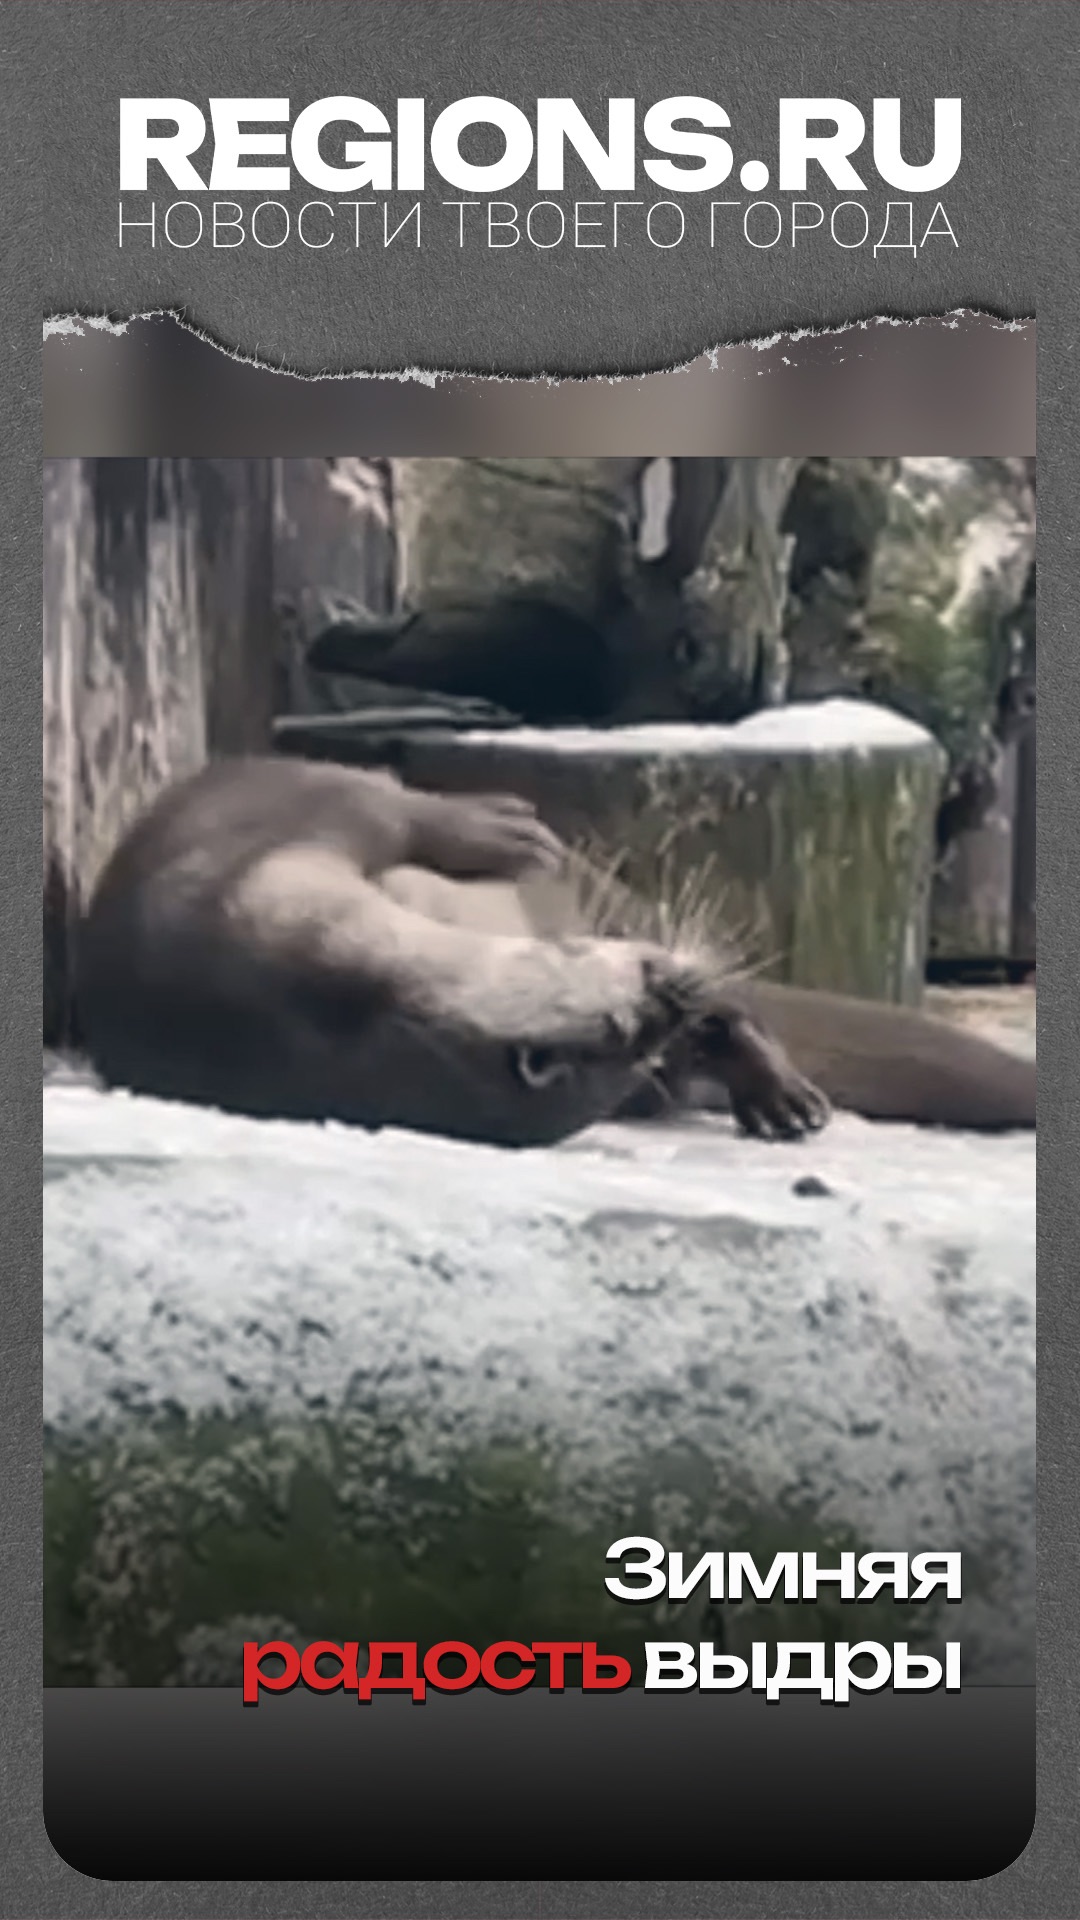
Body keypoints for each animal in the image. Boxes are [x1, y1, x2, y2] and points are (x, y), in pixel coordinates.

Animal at [77, 757, 828, 1149]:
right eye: (625, 1035)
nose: (674, 992)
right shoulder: (293, 838)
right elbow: (380, 804)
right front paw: (497, 828)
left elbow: (381, 799)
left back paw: (782, 1096)